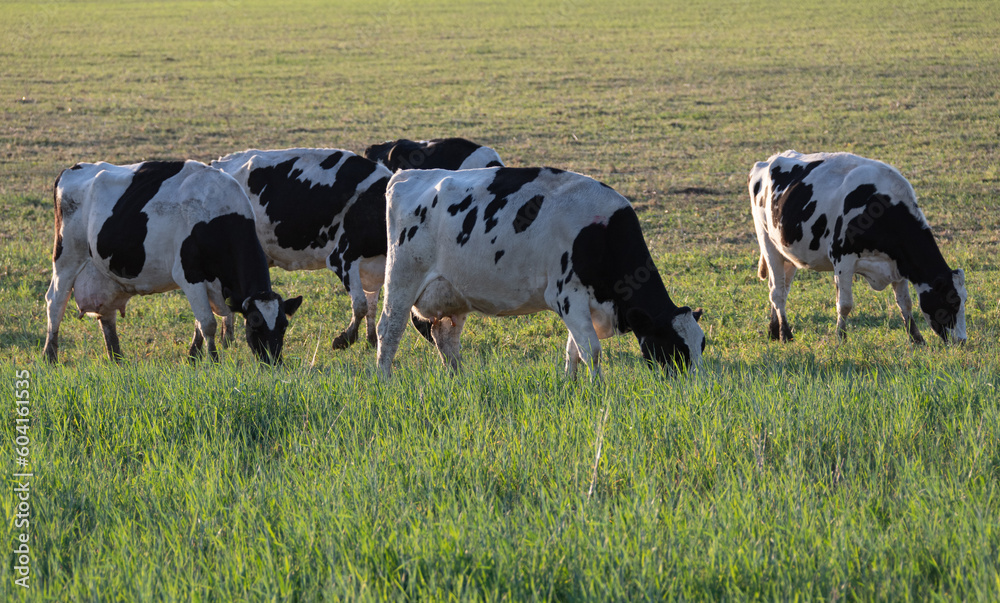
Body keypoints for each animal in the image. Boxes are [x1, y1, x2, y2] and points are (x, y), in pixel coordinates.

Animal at [44, 160, 300, 366]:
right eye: (255, 322)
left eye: (284, 325)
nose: (274, 362)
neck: (217, 215)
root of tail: (72, 169)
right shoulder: (189, 275)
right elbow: (208, 323)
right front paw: (214, 361)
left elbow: (200, 323)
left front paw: (193, 358)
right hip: (67, 259)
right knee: (55, 303)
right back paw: (50, 355)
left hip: (105, 275)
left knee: (106, 315)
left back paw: (117, 358)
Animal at [374, 168, 704, 380]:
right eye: (675, 348)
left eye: (701, 345)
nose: (697, 386)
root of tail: (407, 174)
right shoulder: (567, 295)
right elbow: (591, 350)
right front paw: (599, 389)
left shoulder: (582, 305)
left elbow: (573, 350)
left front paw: (570, 385)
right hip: (402, 278)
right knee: (389, 330)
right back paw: (384, 381)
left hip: (453, 292)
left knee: (445, 338)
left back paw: (459, 381)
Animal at [752, 150, 964, 344]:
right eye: (952, 301)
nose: (962, 341)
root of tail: (769, 160)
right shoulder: (842, 259)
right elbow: (845, 304)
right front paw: (841, 339)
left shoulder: (898, 264)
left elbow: (906, 303)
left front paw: (917, 339)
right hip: (767, 242)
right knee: (777, 292)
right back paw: (785, 334)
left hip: (787, 253)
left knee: (780, 288)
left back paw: (774, 331)